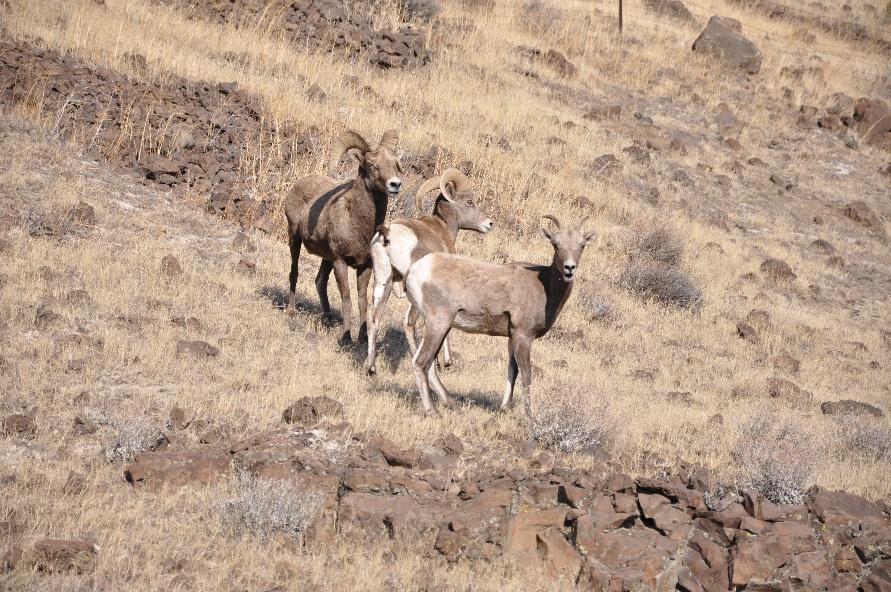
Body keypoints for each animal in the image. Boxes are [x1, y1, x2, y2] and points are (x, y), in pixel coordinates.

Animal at [285, 129, 403, 344]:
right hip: (294, 239)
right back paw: (291, 312)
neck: (357, 223)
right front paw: (346, 338)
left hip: (326, 258)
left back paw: (328, 320)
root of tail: (297, 185)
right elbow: (347, 298)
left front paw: (363, 338)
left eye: (394, 163)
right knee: (294, 273)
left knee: (320, 282)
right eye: (370, 164)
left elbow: (362, 301)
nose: (395, 184)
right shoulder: (340, 262)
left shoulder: (365, 266)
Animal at [365, 168, 493, 376]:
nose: (489, 224)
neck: (442, 229)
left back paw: (371, 369)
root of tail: (388, 234)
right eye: (469, 202)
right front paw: (446, 362)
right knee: (408, 322)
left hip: (382, 282)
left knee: (374, 320)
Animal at [397, 215, 597, 417]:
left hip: (440, 327)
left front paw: (506, 408)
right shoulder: (523, 336)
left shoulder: (512, 337)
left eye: (581, 246)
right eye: (556, 245)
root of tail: (416, 271)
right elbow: (526, 375)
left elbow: (512, 371)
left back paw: (453, 406)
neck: (545, 287)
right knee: (421, 363)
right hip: (438, 324)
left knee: (428, 364)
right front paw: (528, 417)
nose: (569, 268)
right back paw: (433, 412)